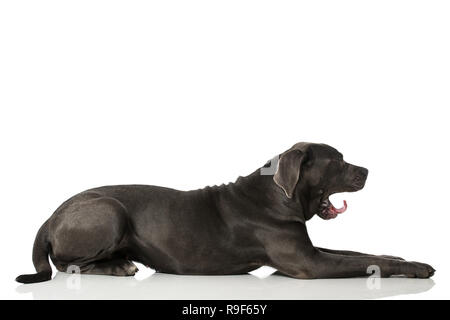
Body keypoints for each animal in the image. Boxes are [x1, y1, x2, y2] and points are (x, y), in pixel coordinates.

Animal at [15, 142, 434, 282]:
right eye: (338, 161)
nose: (367, 171)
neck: (277, 195)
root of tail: (51, 216)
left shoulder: (310, 251)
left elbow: (361, 252)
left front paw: (401, 255)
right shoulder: (308, 263)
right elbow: (365, 262)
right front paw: (417, 267)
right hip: (109, 209)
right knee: (66, 264)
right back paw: (118, 266)